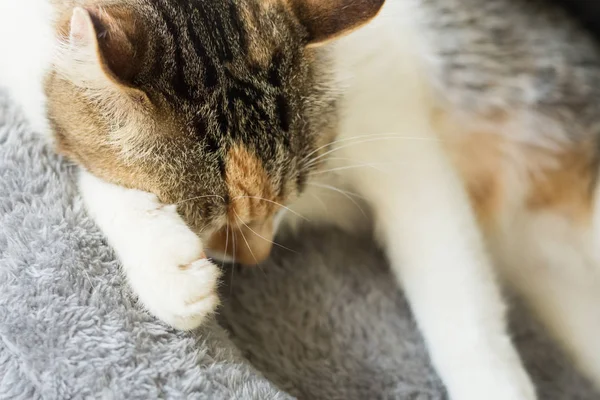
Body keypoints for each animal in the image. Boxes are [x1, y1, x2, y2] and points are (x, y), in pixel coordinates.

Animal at [1, 0, 600, 398]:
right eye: (210, 222)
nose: (255, 257)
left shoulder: (401, 143)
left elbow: (459, 302)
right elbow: (89, 171)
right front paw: (166, 267)